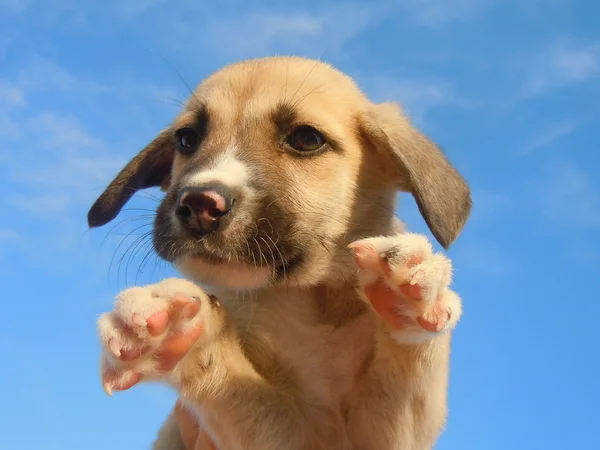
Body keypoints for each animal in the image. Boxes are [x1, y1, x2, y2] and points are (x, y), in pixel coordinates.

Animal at [89, 56, 474, 450]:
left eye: (306, 138)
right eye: (187, 139)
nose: (198, 205)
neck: (312, 305)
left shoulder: (381, 436)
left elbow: (410, 369)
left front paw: (410, 292)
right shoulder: (298, 433)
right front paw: (176, 332)